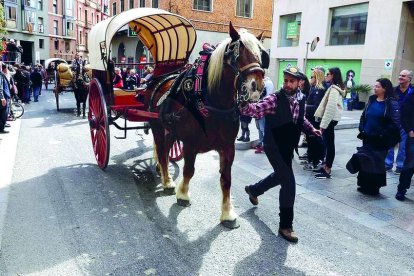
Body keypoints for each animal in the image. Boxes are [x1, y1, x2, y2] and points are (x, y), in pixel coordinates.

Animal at [147, 22, 266, 227]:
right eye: (236, 53)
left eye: (259, 53)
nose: (256, 85)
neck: (212, 103)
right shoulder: (190, 143)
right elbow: (189, 170)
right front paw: (183, 194)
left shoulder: (228, 147)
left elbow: (226, 179)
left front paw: (227, 213)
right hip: (158, 128)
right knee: (162, 152)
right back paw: (167, 181)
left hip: (171, 131)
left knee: (166, 150)